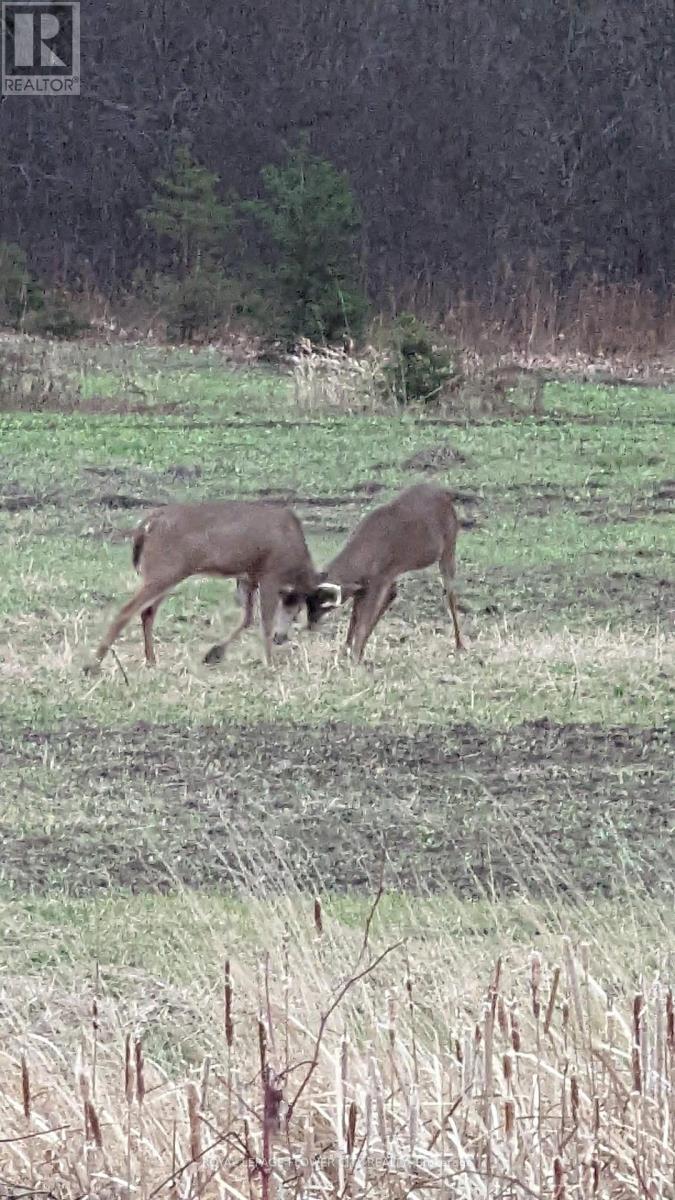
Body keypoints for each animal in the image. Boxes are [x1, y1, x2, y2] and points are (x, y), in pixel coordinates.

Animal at [82, 499, 338, 676]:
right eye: (298, 609)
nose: (282, 638)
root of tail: (146, 525)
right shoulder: (269, 574)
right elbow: (264, 622)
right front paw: (269, 663)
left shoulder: (248, 577)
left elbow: (248, 618)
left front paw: (214, 654)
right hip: (164, 570)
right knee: (127, 610)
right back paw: (93, 665)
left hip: (164, 573)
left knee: (147, 612)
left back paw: (151, 660)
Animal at [291, 480, 466, 662]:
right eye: (307, 601)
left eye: (322, 602)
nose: (310, 624)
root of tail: (445, 493)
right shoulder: (366, 584)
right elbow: (355, 618)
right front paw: (348, 650)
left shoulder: (378, 580)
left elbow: (362, 621)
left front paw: (355, 656)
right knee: (393, 594)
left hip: (449, 545)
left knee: (450, 594)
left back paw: (460, 645)